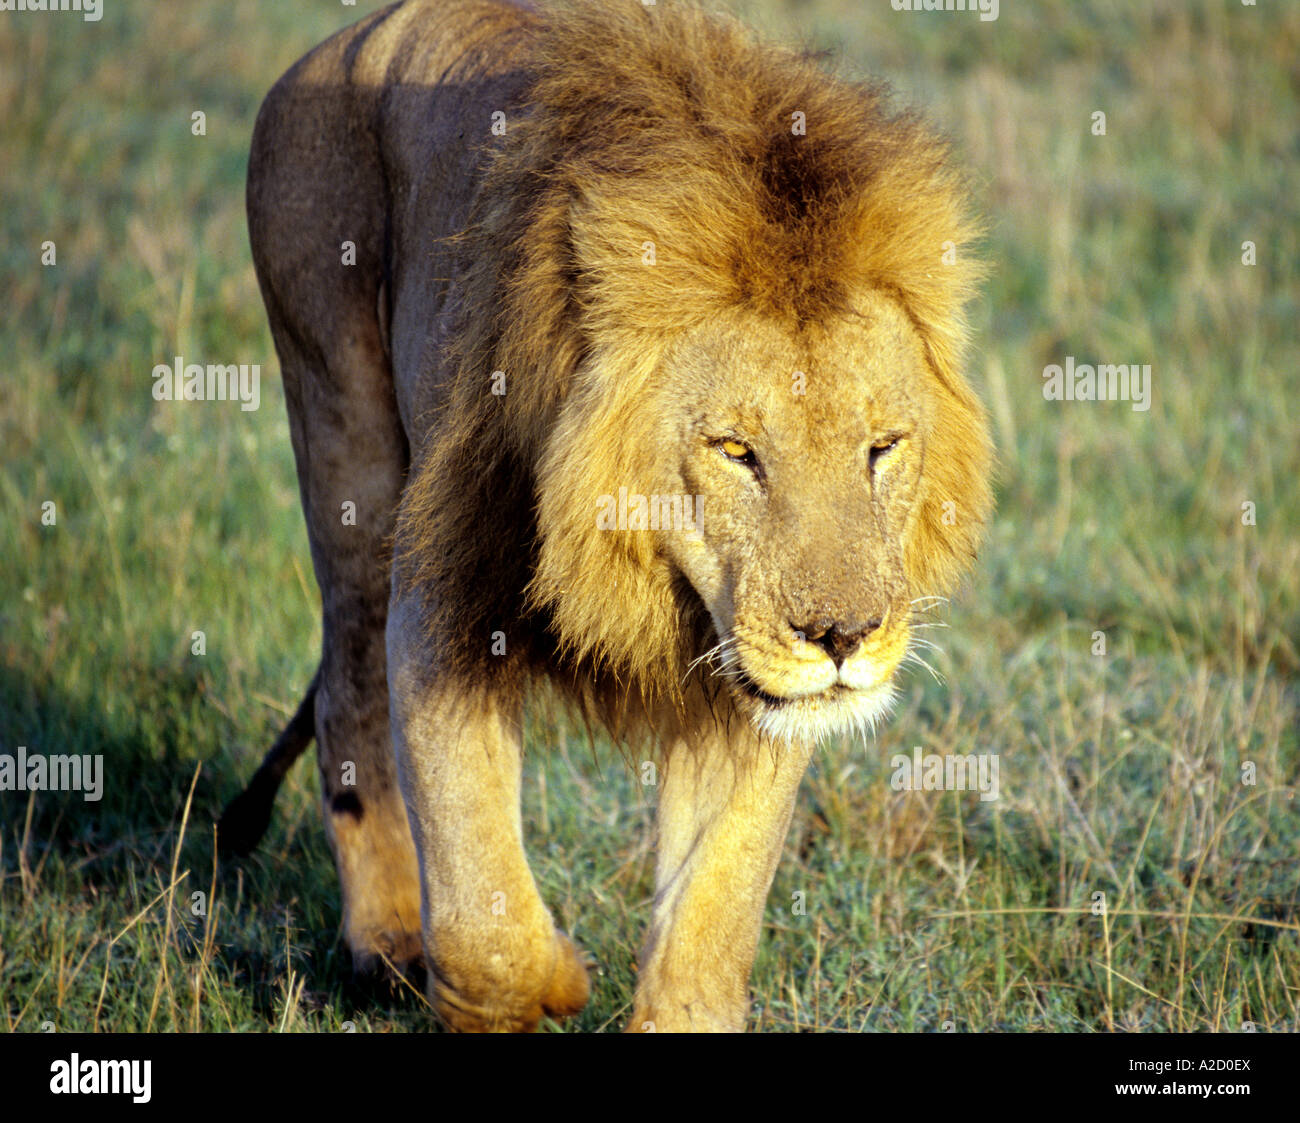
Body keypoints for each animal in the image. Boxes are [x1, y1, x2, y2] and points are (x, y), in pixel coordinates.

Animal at [220, 0, 993, 1032]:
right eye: (736, 451)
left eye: (883, 447)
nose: (843, 637)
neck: (657, 584)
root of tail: (348, 36)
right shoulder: (444, 603)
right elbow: (484, 917)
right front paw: (555, 978)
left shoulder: (752, 685)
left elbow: (711, 911)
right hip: (343, 428)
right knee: (348, 693)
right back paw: (384, 943)